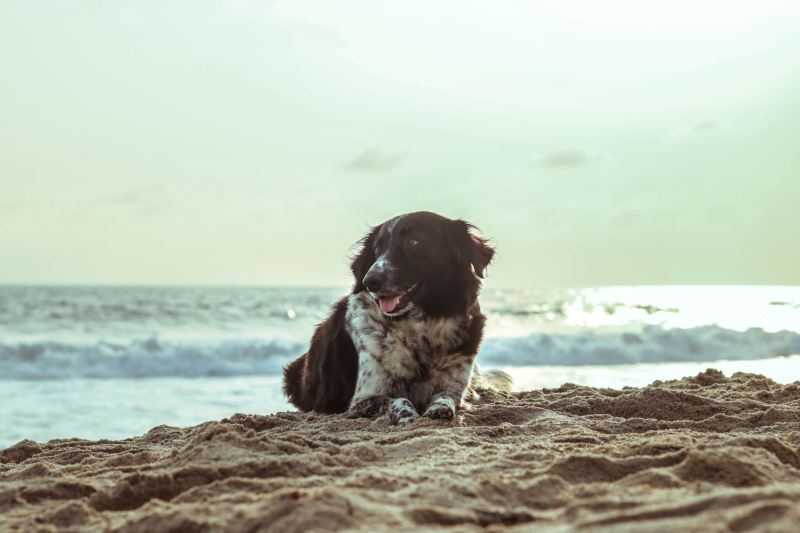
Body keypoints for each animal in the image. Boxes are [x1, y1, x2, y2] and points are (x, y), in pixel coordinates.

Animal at [282, 211, 506, 424]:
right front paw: (409, 416)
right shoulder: (363, 398)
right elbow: (399, 400)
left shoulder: (455, 383)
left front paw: (439, 409)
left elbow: (446, 396)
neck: (423, 325)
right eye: (377, 249)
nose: (370, 281)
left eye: (413, 242)